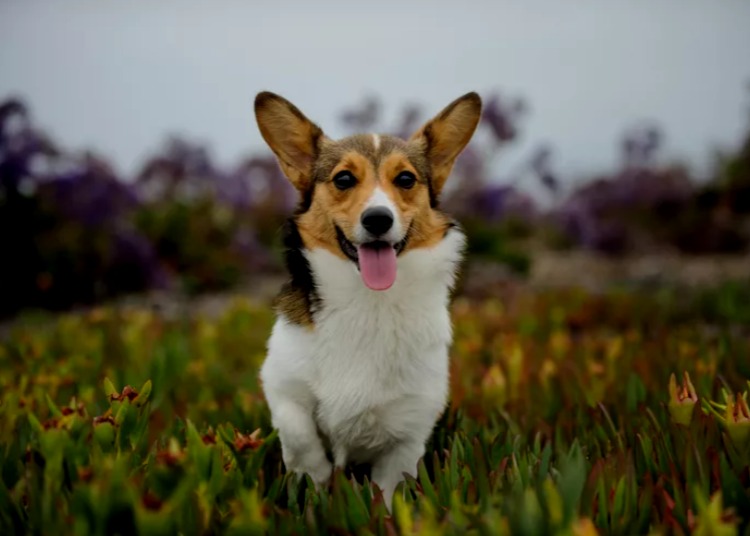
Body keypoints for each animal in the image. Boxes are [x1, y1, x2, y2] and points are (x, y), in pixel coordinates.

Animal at [256, 90, 484, 508]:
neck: (369, 301)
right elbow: (300, 437)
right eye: (344, 179)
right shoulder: (281, 386)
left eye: (406, 179)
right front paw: (316, 484)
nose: (378, 219)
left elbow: (389, 488)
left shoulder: (409, 428)